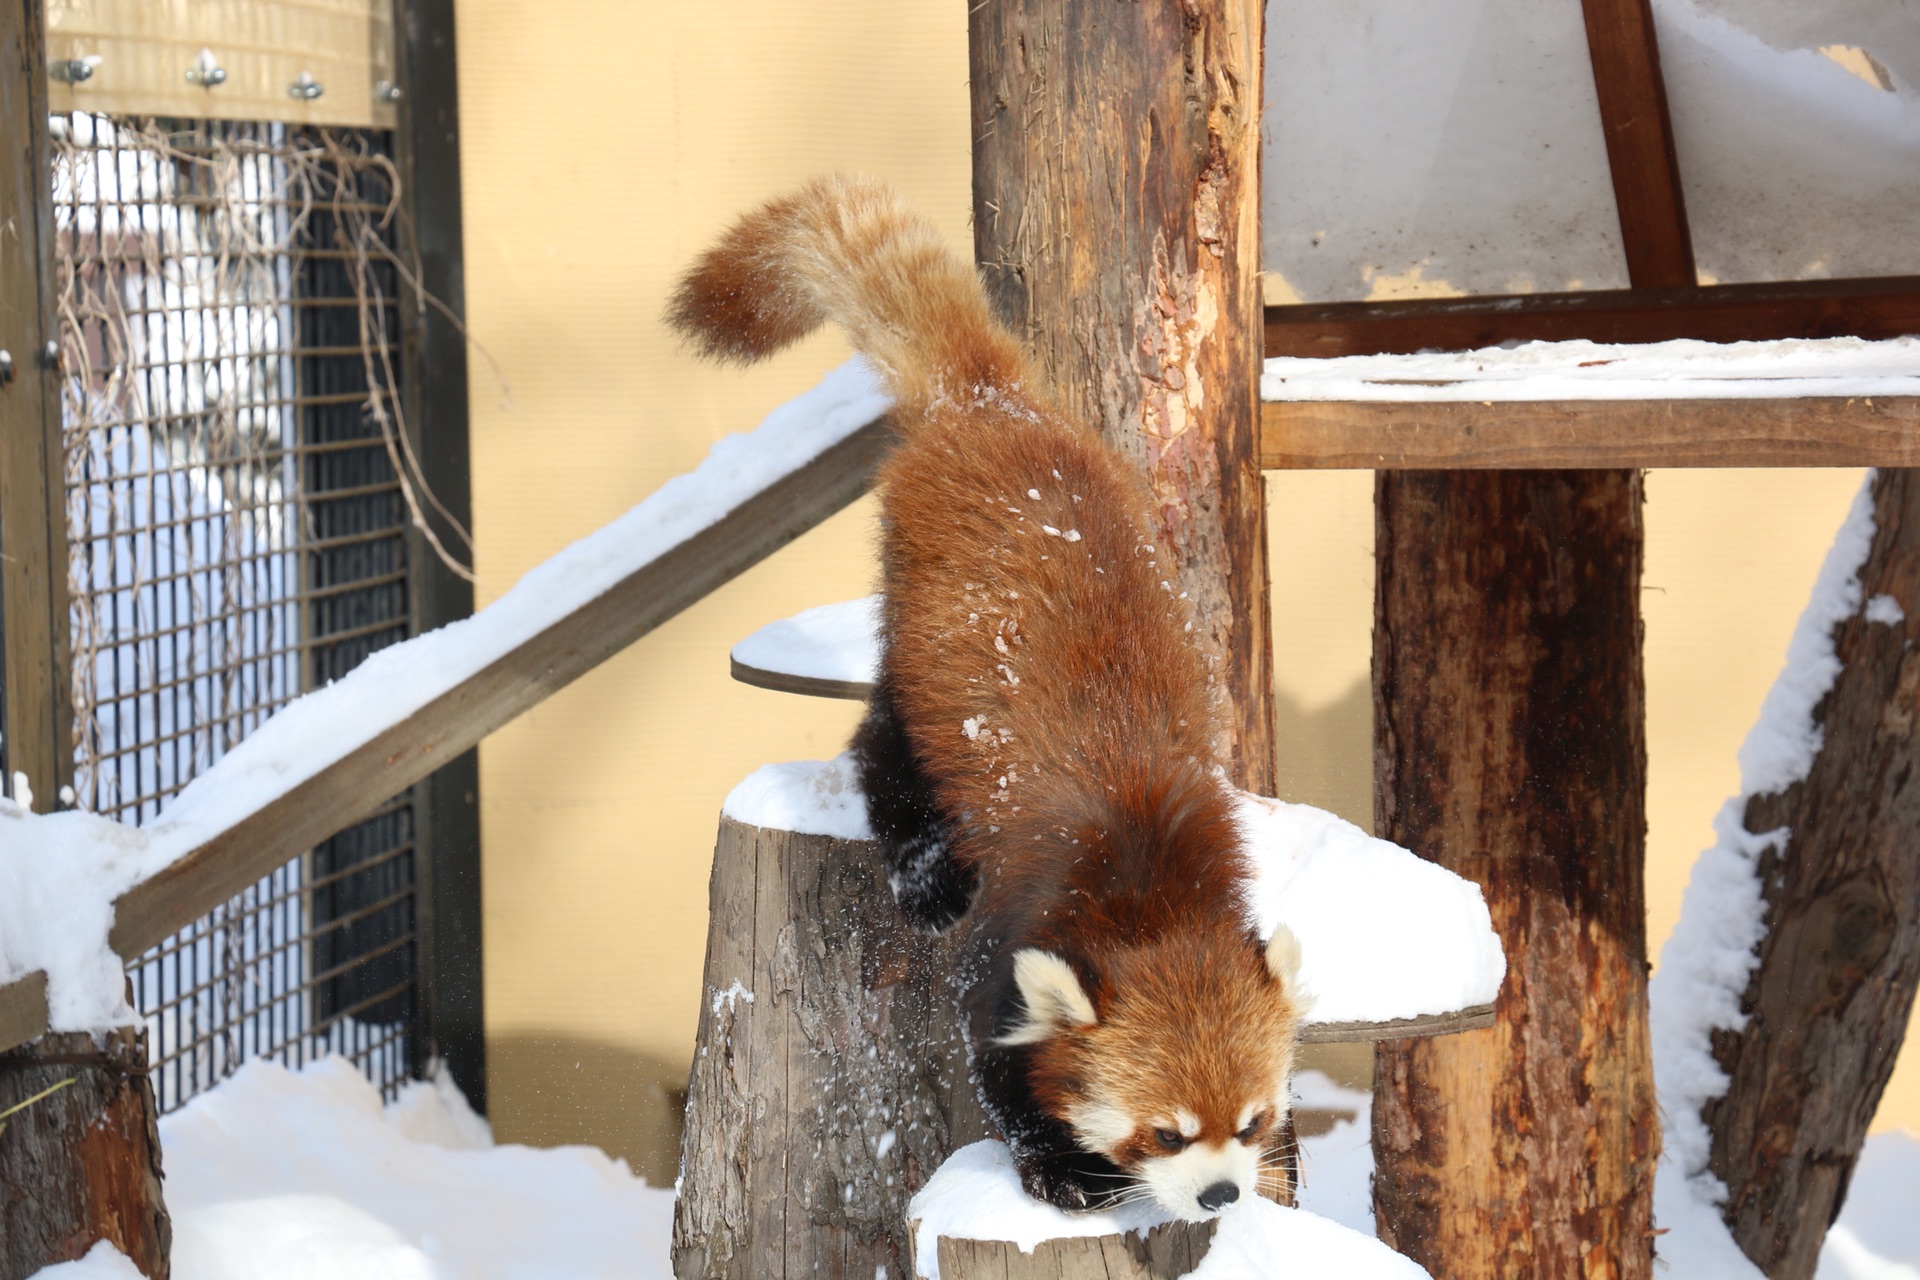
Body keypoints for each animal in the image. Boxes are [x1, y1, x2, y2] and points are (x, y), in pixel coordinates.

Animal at [668, 177, 1313, 1220]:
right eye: (1165, 1134)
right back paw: (922, 861)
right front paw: (1059, 1169)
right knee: (885, 737)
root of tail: (993, 402)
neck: (1151, 891)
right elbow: (993, 1046)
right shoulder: (1020, 921)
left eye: (1250, 1119)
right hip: (918, 630)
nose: (1219, 1196)